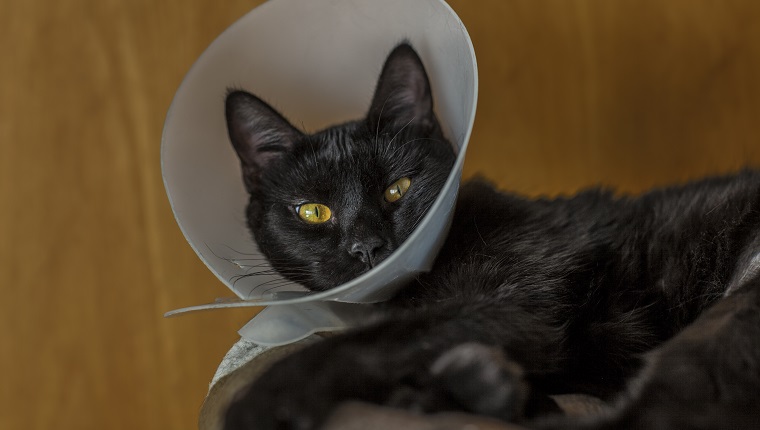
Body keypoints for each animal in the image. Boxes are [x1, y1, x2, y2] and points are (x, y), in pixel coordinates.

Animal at [221, 44, 760, 430]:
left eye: (398, 188)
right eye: (314, 211)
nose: (367, 246)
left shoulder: (513, 303)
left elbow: (377, 338)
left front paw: (263, 400)